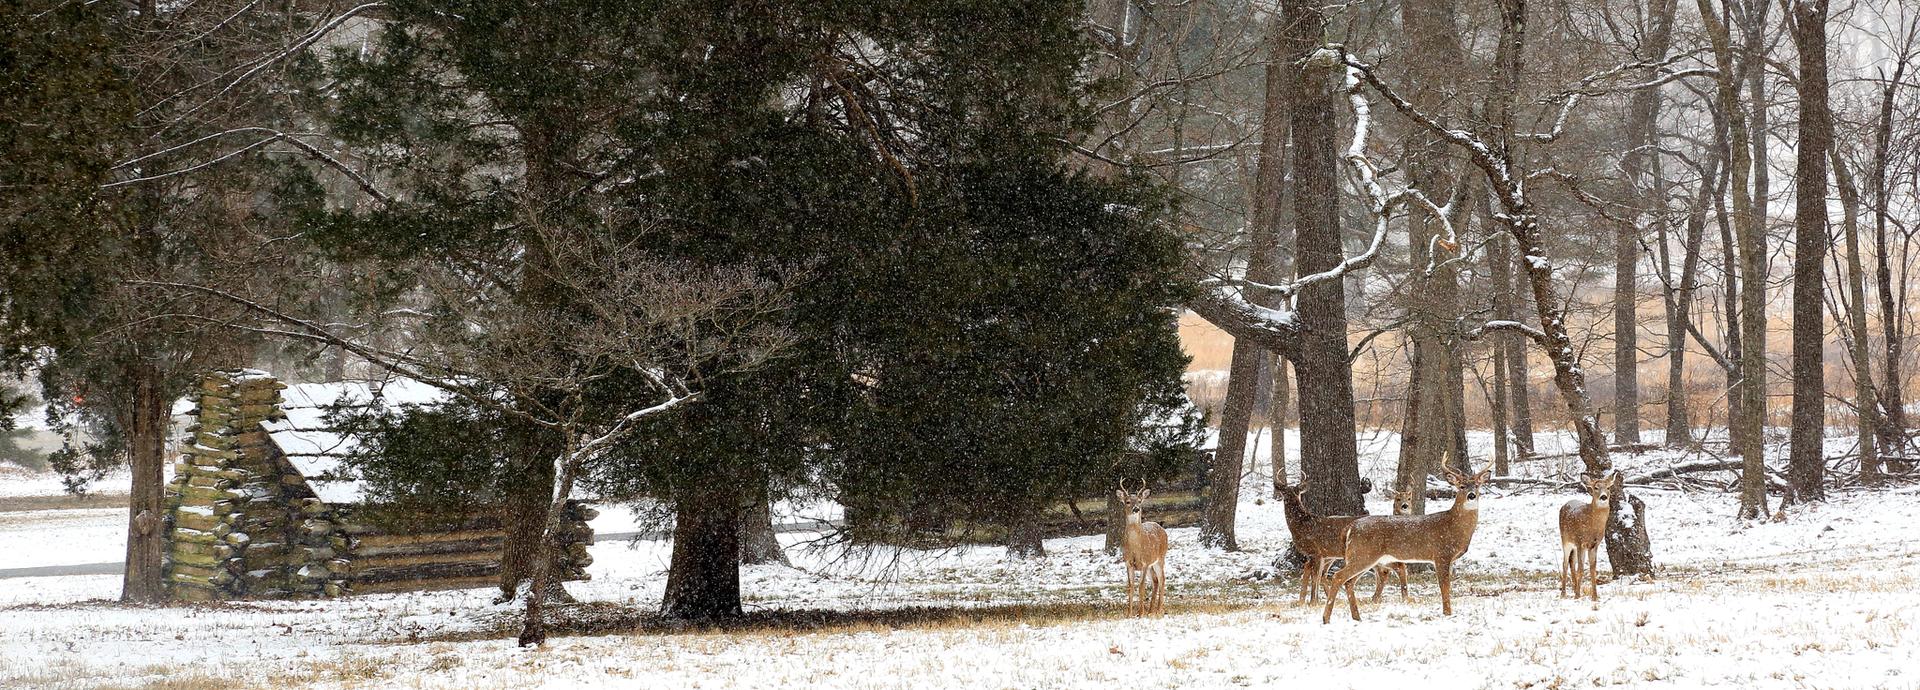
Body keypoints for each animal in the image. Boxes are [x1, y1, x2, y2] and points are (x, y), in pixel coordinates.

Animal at [1115, 481, 1169, 617]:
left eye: (1139, 501)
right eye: (1128, 501)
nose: (1136, 508)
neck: (1136, 548)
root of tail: (1160, 527)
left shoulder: (1144, 563)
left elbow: (1141, 587)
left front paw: (1141, 613)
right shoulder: (1128, 563)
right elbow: (1130, 587)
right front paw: (1129, 614)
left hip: (1160, 558)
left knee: (1162, 579)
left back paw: (1159, 611)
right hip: (1151, 565)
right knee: (1155, 581)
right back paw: (1151, 611)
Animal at [1321, 463, 1492, 623]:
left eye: (1477, 485)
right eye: (1461, 486)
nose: (1471, 495)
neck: (1453, 526)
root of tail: (1350, 527)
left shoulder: (1449, 559)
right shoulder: (1441, 554)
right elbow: (1444, 586)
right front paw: (1447, 614)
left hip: (1364, 557)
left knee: (1349, 582)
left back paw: (1356, 617)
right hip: (1362, 554)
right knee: (1338, 576)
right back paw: (1326, 618)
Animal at [1559, 472, 1620, 602]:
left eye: (1608, 487)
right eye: (1596, 488)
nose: (1603, 497)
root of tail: (1565, 504)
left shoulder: (1594, 544)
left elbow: (1592, 568)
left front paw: (1594, 596)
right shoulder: (1580, 541)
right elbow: (1581, 568)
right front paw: (1577, 596)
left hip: (1574, 545)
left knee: (1572, 562)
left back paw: (1574, 588)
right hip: (1566, 540)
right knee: (1565, 563)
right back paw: (1564, 593)